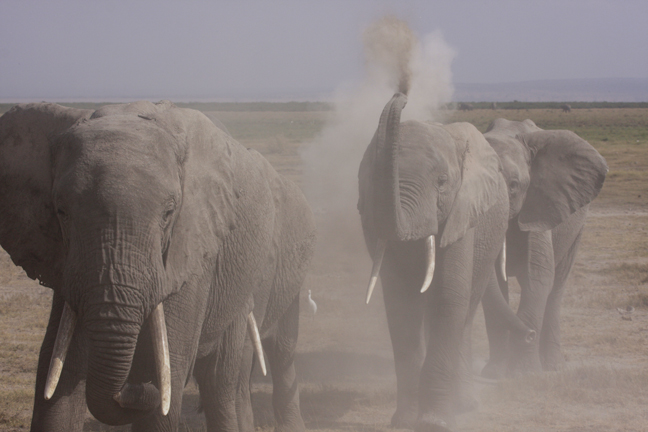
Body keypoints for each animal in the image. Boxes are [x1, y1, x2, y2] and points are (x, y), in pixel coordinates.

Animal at [0, 101, 316, 432]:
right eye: (60, 211)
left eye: (169, 213)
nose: (131, 390)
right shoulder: (66, 261)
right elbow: (58, 369)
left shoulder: (193, 249)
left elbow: (166, 366)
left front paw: (153, 387)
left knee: (227, 377)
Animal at [357, 93, 530, 432]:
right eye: (371, 179)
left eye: (441, 181)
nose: (401, 95)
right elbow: (400, 304)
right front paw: (403, 421)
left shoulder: (463, 213)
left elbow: (449, 297)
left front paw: (434, 423)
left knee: (464, 313)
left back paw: (463, 406)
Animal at [480, 118, 607, 378]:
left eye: (514, 186)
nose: (529, 335)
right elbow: (493, 286)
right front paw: (493, 373)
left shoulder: (540, 206)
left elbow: (537, 277)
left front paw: (524, 373)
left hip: (576, 230)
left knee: (556, 286)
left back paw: (552, 366)